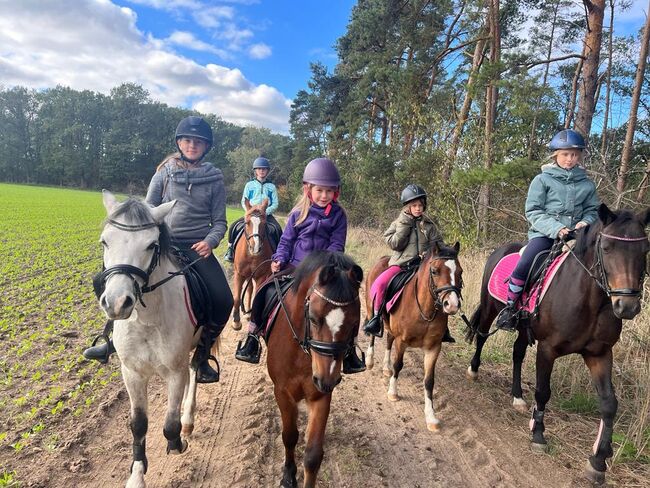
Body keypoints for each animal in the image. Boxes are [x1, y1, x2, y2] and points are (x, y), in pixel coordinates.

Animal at [97, 191, 200, 488]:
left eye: (151, 245)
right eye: (105, 241)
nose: (117, 303)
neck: (148, 320)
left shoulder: (174, 371)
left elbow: (170, 424)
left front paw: (177, 443)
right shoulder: (132, 372)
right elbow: (139, 424)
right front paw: (137, 475)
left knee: (196, 371)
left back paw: (188, 419)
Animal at [230, 198, 270, 332]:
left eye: (264, 223)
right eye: (247, 222)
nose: (255, 248)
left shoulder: (262, 276)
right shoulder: (239, 274)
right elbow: (237, 298)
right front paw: (236, 322)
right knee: (249, 289)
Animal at [266, 250, 362, 486]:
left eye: (354, 323)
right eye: (313, 318)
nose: (326, 379)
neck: (303, 354)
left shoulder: (320, 395)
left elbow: (313, 456)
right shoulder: (282, 392)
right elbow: (289, 436)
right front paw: (288, 475)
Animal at [364, 241, 460, 430]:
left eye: (459, 271)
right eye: (435, 271)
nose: (451, 304)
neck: (425, 310)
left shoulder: (434, 347)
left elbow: (429, 380)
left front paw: (431, 417)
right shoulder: (402, 341)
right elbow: (398, 365)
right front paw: (393, 393)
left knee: (388, 340)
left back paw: (385, 367)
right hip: (371, 308)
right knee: (372, 334)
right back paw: (370, 360)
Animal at [464, 203, 644, 484]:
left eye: (645, 249)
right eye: (606, 248)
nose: (627, 306)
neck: (589, 301)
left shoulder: (600, 354)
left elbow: (609, 404)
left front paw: (599, 460)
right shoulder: (548, 349)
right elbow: (543, 391)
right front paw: (538, 434)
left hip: (524, 328)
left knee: (517, 352)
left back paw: (517, 396)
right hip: (490, 306)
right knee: (482, 335)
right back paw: (473, 370)